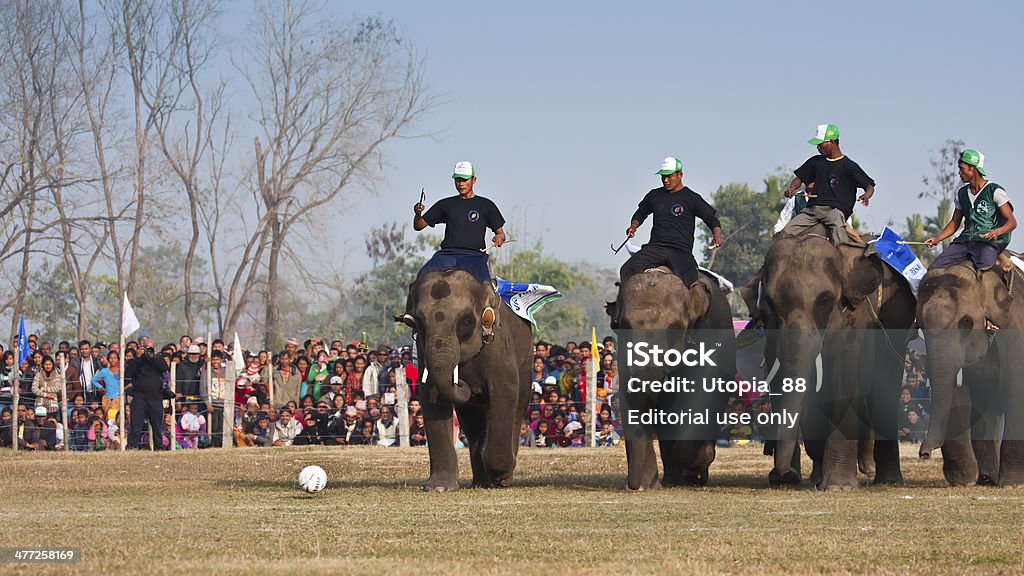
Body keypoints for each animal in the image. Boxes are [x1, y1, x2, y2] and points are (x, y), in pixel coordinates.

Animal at [397, 268, 532, 487]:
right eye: (420, 322)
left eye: (467, 321)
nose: (462, 382)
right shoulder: (423, 347)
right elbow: (431, 397)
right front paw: (439, 487)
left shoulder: (498, 345)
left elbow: (504, 391)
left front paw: (500, 476)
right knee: (472, 422)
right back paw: (481, 482)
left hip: (526, 358)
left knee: (518, 406)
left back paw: (501, 479)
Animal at [606, 266, 737, 485]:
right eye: (622, 325)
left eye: (675, 329)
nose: (633, 486)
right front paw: (648, 485)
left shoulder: (708, 332)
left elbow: (702, 392)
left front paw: (699, 466)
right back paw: (672, 479)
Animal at [757, 226, 917, 485]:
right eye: (769, 302)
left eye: (825, 299)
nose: (781, 475)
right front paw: (795, 477)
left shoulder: (855, 314)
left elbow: (845, 370)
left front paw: (838, 486)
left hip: (898, 318)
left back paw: (885, 479)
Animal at [917, 260, 1024, 483]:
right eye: (919, 325)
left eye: (966, 322)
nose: (924, 454)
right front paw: (964, 480)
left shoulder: (1016, 329)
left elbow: (1016, 389)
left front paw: (1012, 484)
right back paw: (987, 478)